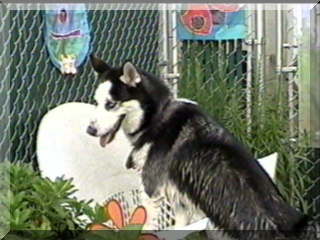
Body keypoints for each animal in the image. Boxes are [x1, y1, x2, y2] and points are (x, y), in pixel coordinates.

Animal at [87, 55, 318, 239]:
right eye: (96, 103)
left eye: (110, 104)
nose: (90, 130)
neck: (158, 114)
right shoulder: (177, 196)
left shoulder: (151, 190)